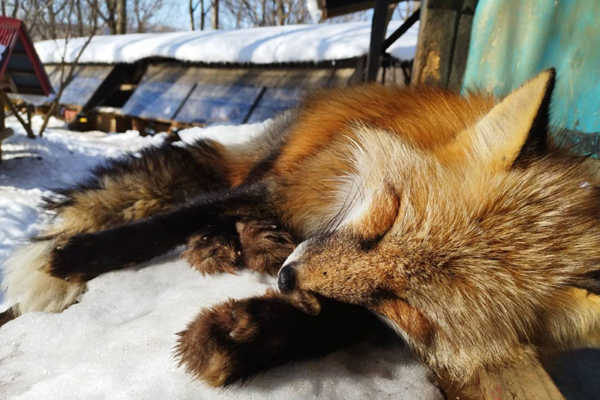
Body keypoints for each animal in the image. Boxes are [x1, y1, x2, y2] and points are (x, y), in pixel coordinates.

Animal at [1, 68, 600, 394]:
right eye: (386, 214)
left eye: (403, 303)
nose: (288, 280)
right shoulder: (292, 185)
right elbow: (170, 219)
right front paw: (77, 256)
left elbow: (334, 324)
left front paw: (250, 337)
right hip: (274, 162)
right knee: (213, 206)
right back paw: (227, 242)